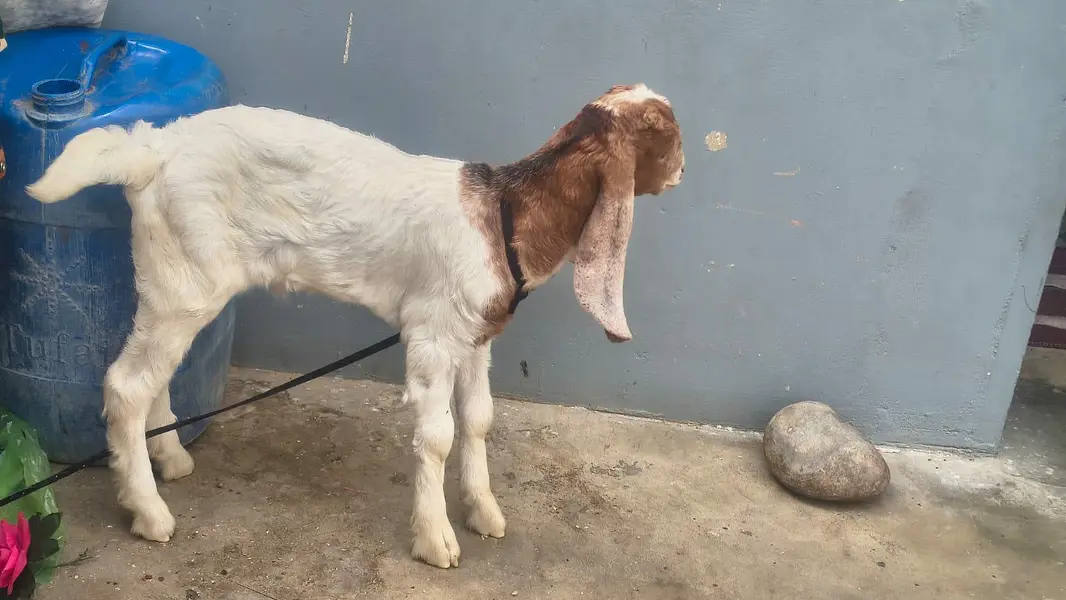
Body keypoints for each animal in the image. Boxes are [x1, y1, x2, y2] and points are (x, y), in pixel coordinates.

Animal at [25, 83, 685, 568]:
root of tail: (153, 149)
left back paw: (169, 460)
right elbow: (439, 435)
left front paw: (483, 511)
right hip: (186, 280)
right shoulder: (432, 336)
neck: (505, 210)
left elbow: (478, 420)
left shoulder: (475, 338)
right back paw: (149, 512)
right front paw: (436, 540)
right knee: (125, 386)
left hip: (176, 287)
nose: (682, 169)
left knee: (150, 375)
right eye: (664, 133)